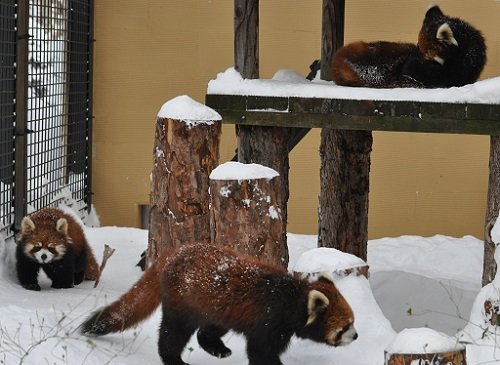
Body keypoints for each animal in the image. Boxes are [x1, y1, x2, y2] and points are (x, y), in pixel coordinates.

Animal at [80, 242, 358, 364]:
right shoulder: (268, 323)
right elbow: (261, 354)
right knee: (173, 333)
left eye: (353, 322)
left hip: (218, 307)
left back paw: (217, 349)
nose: (355, 336)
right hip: (183, 302)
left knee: (209, 330)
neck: (291, 300)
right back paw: (174, 360)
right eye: (344, 326)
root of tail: (173, 252)